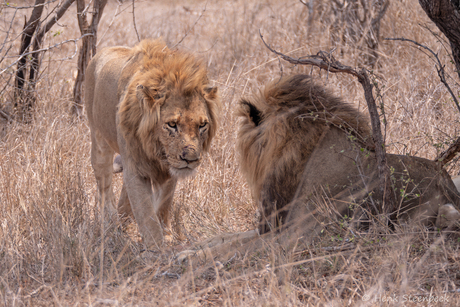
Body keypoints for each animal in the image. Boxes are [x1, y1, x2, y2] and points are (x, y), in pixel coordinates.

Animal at [85, 39, 221, 250]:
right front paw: (156, 248)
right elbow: (146, 212)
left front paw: (167, 237)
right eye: (172, 124)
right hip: (99, 142)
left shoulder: (170, 168)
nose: (191, 159)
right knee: (104, 187)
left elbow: (164, 204)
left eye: (202, 125)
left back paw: (123, 220)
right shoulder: (135, 166)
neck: (156, 150)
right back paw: (109, 223)